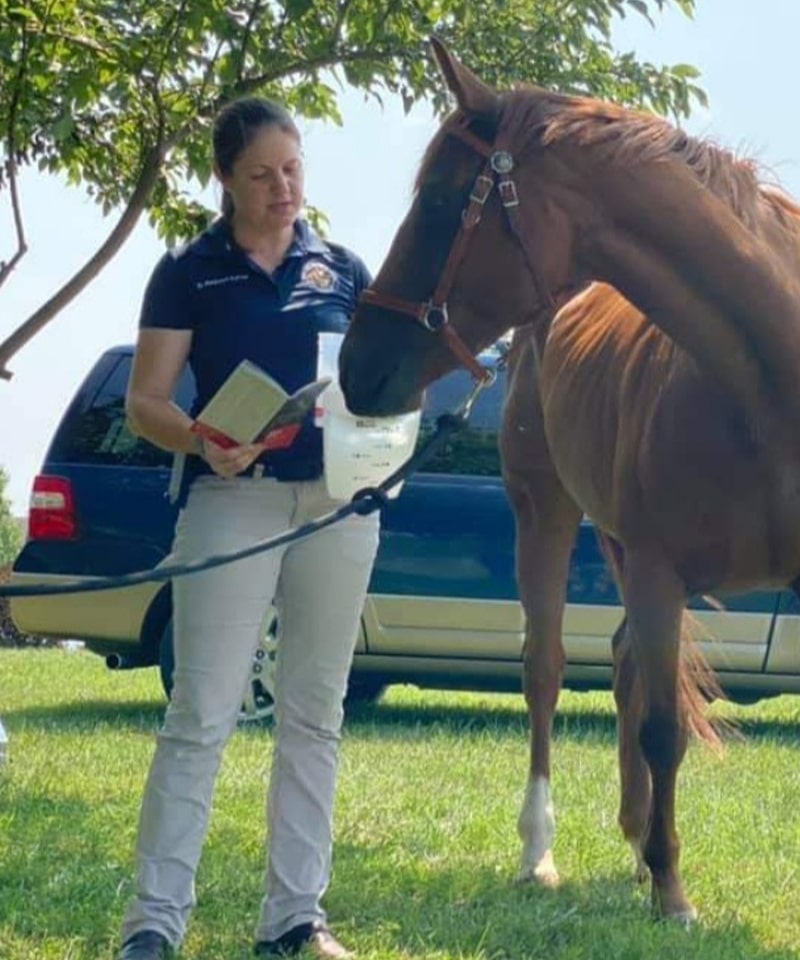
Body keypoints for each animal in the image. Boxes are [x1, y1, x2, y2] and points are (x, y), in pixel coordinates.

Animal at [338, 37, 800, 923]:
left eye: (442, 200)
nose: (355, 364)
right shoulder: (657, 569)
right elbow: (664, 728)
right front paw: (674, 893)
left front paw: (658, 865)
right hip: (547, 515)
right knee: (548, 671)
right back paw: (544, 852)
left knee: (621, 665)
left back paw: (636, 844)